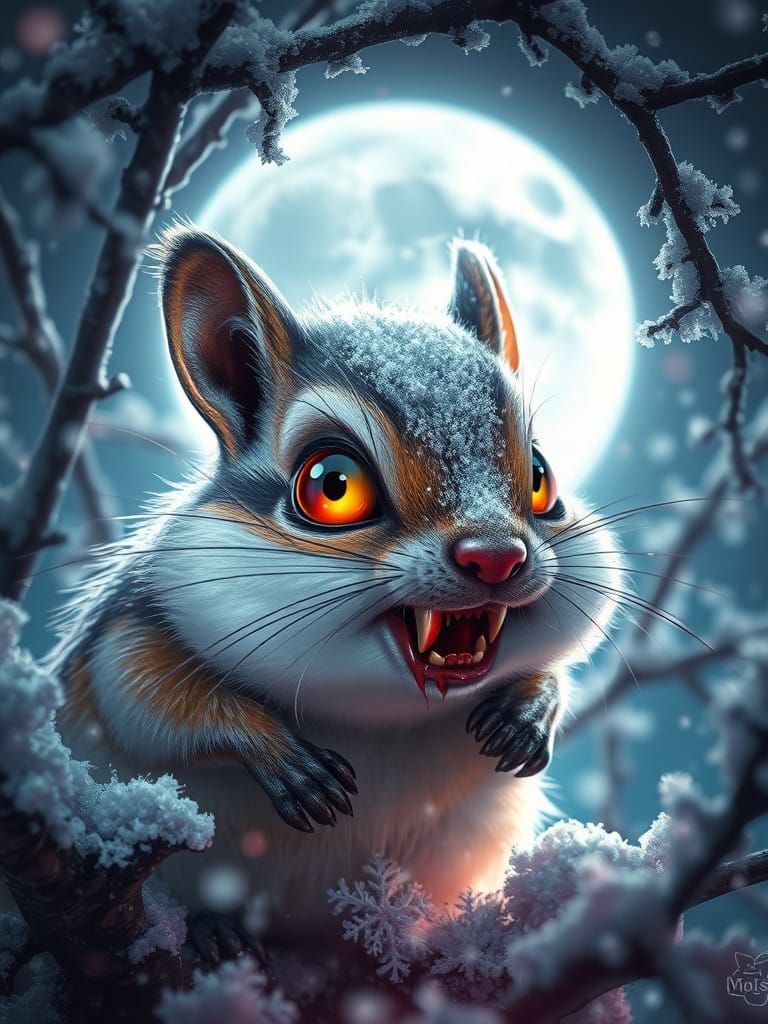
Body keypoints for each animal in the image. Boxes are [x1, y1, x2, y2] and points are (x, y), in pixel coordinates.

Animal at [53, 226, 621, 949]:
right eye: (332, 485)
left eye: (543, 477)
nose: (496, 557)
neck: (380, 711)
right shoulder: (128, 629)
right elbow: (146, 695)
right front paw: (286, 760)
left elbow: (549, 670)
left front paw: (528, 713)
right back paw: (211, 931)